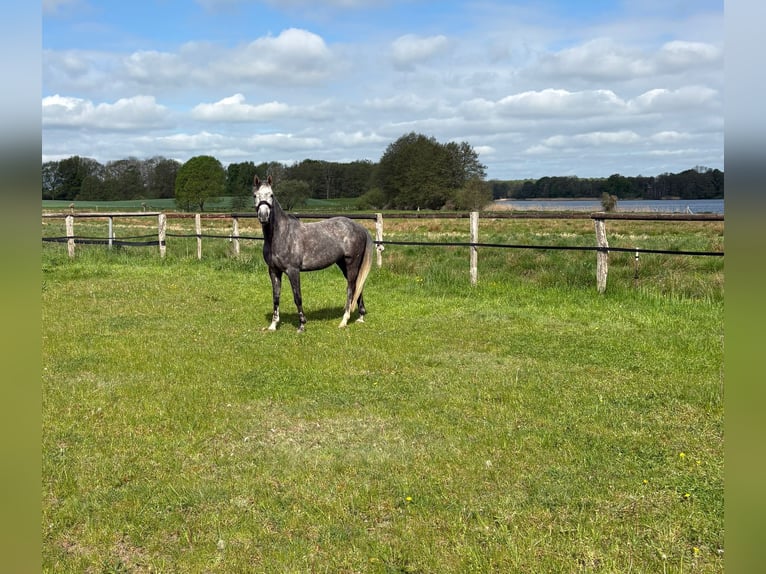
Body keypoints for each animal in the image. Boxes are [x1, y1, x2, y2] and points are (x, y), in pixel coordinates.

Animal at [253, 175, 373, 332]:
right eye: (255, 195)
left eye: (271, 195)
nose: (263, 216)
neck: (280, 235)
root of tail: (360, 228)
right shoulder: (274, 271)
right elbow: (276, 297)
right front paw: (273, 325)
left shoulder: (293, 270)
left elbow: (297, 297)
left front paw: (302, 325)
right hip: (343, 264)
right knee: (358, 287)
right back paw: (360, 317)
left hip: (351, 263)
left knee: (351, 288)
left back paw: (344, 320)